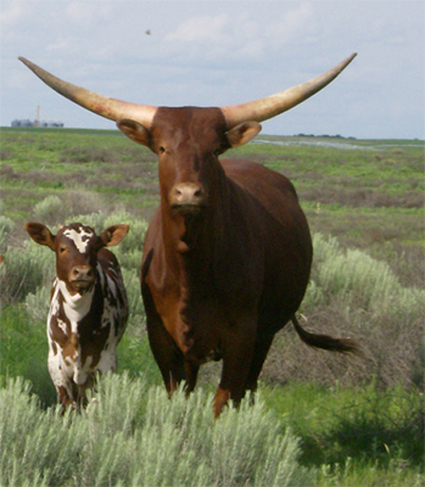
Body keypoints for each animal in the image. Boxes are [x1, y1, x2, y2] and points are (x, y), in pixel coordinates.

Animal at [24, 223, 129, 410]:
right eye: (62, 248)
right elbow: (69, 405)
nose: (82, 272)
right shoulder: (56, 365)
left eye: (94, 248)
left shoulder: (105, 364)